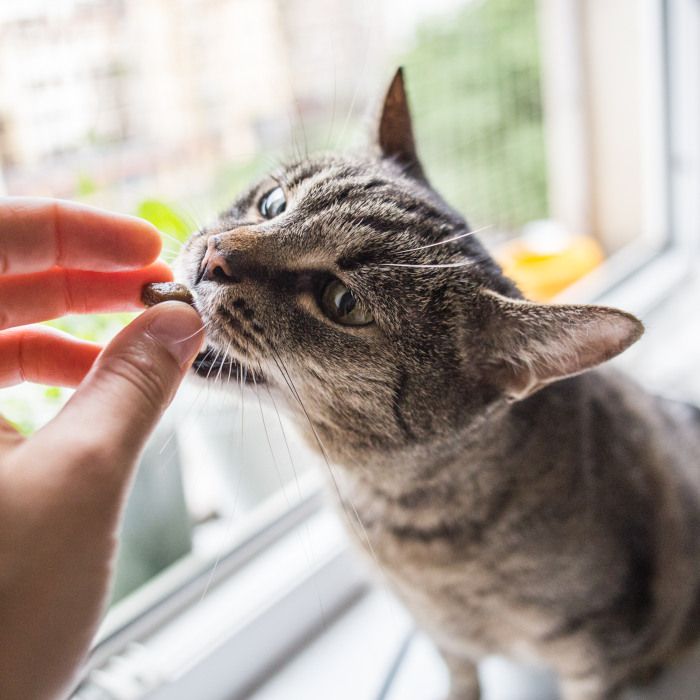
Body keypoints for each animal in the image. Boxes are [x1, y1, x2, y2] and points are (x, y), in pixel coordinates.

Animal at [176, 67, 700, 700]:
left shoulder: (597, 653)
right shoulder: (437, 632)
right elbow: (458, 673)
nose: (213, 256)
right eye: (273, 201)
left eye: (343, 302)